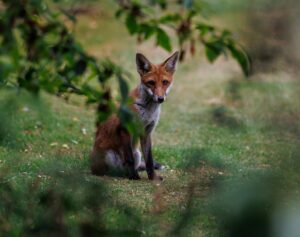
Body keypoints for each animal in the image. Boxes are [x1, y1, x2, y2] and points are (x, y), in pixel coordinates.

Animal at [89, 50, 178, 180]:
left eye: (165, 82)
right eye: (151, 83)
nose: (160, 98)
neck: (147, 111)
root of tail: (91, 167)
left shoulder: (146, 132)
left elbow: (149, 160)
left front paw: (153, 178)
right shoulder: (124, 129)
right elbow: (129, 159)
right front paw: (135, 177)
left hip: (137, 153)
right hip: (110, 155)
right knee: (116, 169)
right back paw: (125, 175)